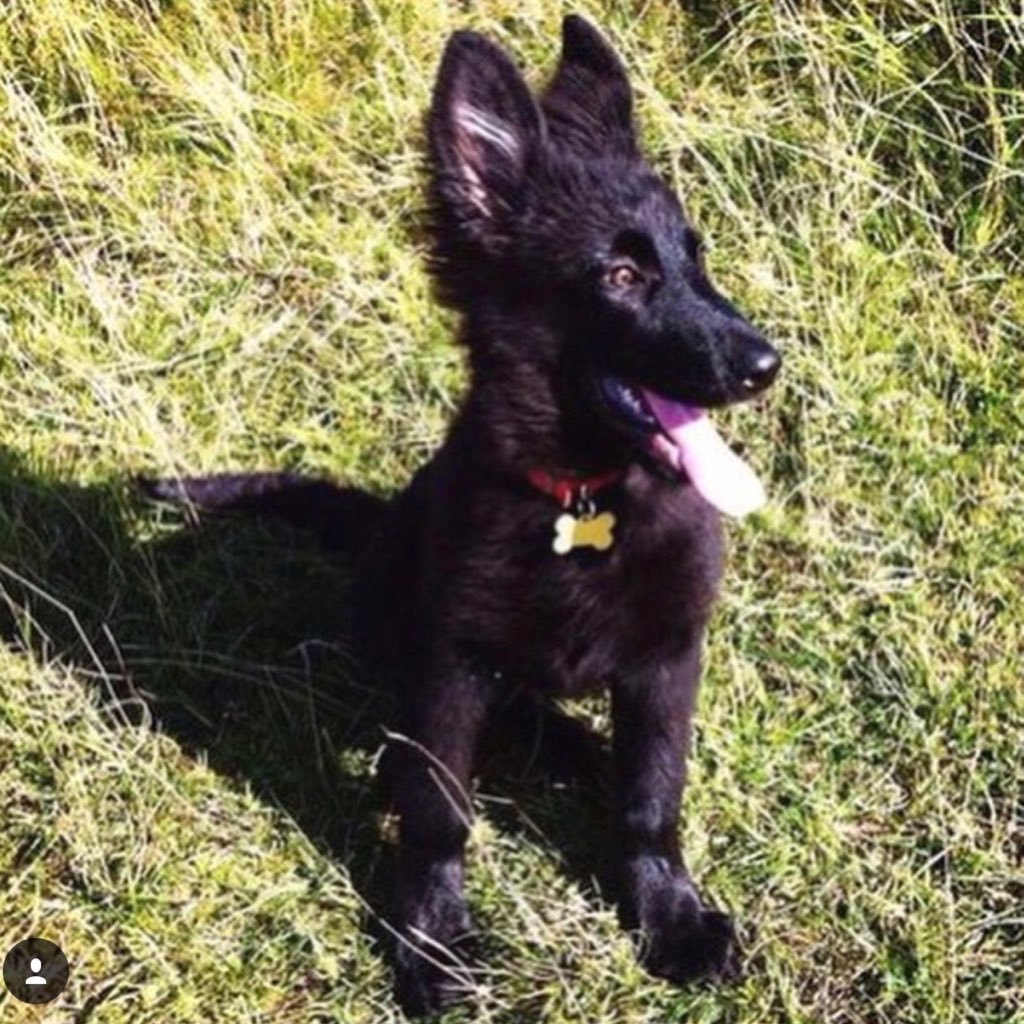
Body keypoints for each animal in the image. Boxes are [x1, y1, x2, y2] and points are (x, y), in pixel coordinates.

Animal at [148, 16, 778, 1015]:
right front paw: (434, 940)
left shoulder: (668, 658)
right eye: (622, 274)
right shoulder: (452, 663)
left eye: (695, 256)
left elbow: (652, 797)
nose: (765, 365)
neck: (586, 499)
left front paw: (667, 916)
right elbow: (439, 811)